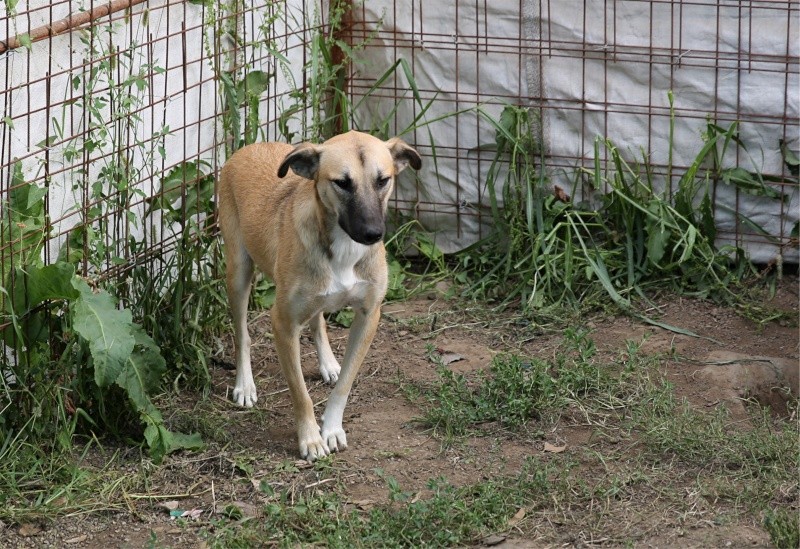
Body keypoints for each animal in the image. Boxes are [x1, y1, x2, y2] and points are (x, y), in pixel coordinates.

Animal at [216, 131, 422, 460]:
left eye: (383, 180)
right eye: (342, 183)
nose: (372, 234)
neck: (343, 249)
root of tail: (252, 146)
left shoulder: (369, 316)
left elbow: (345, 386)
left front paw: (332, 429)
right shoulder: (283, 323)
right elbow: (301, 394)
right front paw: (311, 439)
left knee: (318, 321)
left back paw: (328, 363)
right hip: (238, 273)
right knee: (242, 335)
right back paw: (245, 384)